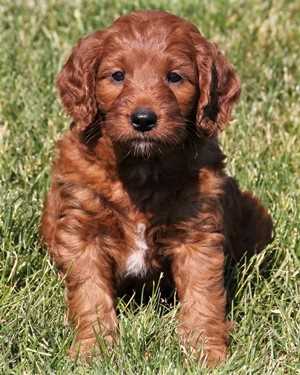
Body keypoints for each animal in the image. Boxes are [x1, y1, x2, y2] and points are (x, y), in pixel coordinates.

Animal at [41, 11, 274, 368]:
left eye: (175, 77)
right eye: (118, 75)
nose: (143, 119)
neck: (142, 168)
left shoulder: (197, 235)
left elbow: (203, 297)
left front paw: (207, 351)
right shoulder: (82, 234)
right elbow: (90, 295)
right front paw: (93, 351)